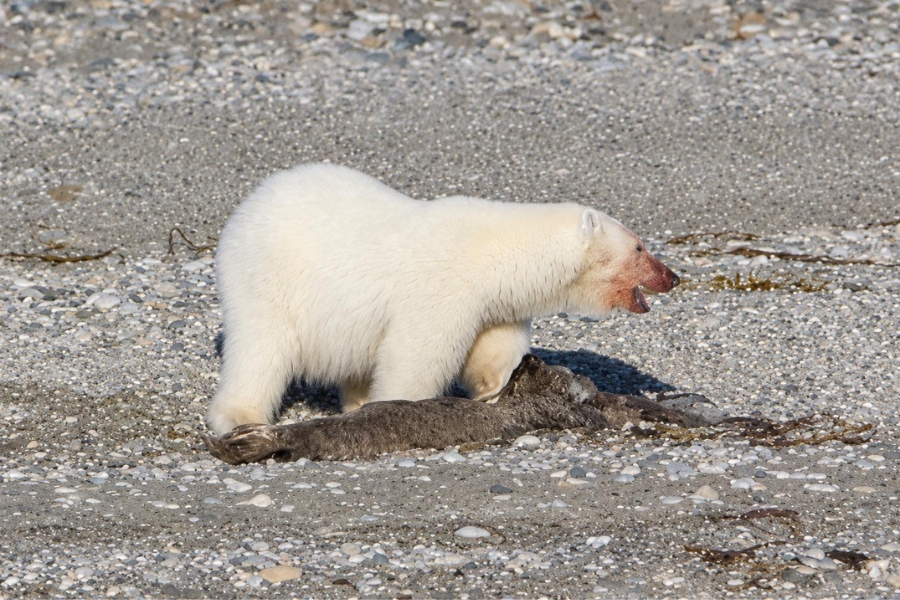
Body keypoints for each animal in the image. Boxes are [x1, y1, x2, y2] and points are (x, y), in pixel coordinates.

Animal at [206, 163, 679, 436]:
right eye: (640, 247)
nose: (672, 277)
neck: (496, 251)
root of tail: (249, 203)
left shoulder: (493, 304)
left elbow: (495, 353)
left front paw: (497, 391)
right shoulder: (443, 288)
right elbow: (416, 356)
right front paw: (397, 409)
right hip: (268, 277)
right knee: (260, 348)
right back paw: (240, 416)